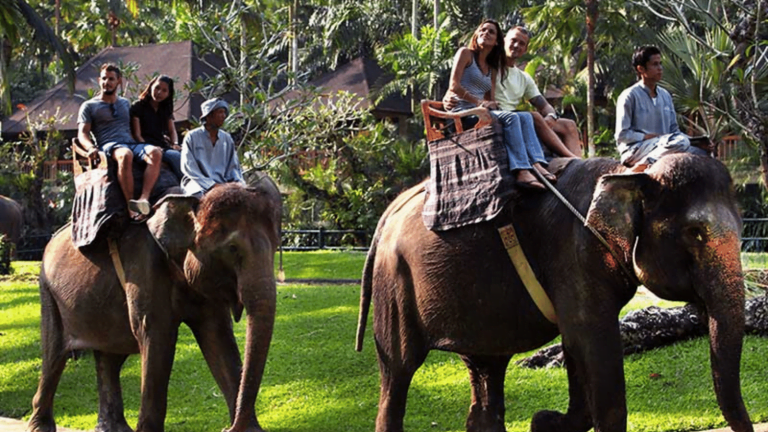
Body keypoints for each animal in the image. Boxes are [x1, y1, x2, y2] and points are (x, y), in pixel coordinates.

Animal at [28, 179, 284, 432]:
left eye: (276, 245)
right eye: (232, 249)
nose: (227, 428)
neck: (190, 202)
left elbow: (217, 338)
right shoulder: (144, 266)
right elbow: (157, 338)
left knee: (109, 356)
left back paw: (114, 429)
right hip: (48, 290)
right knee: (54, 353)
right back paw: (40, 426)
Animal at [356, 154, 752, 432]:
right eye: (695, 233)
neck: (630, 172)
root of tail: (390, 209)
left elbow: (576, 346)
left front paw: (542, 421)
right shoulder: (573, 254)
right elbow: (592, 343)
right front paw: (543, 420)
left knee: (486, 368)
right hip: (395, 283)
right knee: (398, 369)